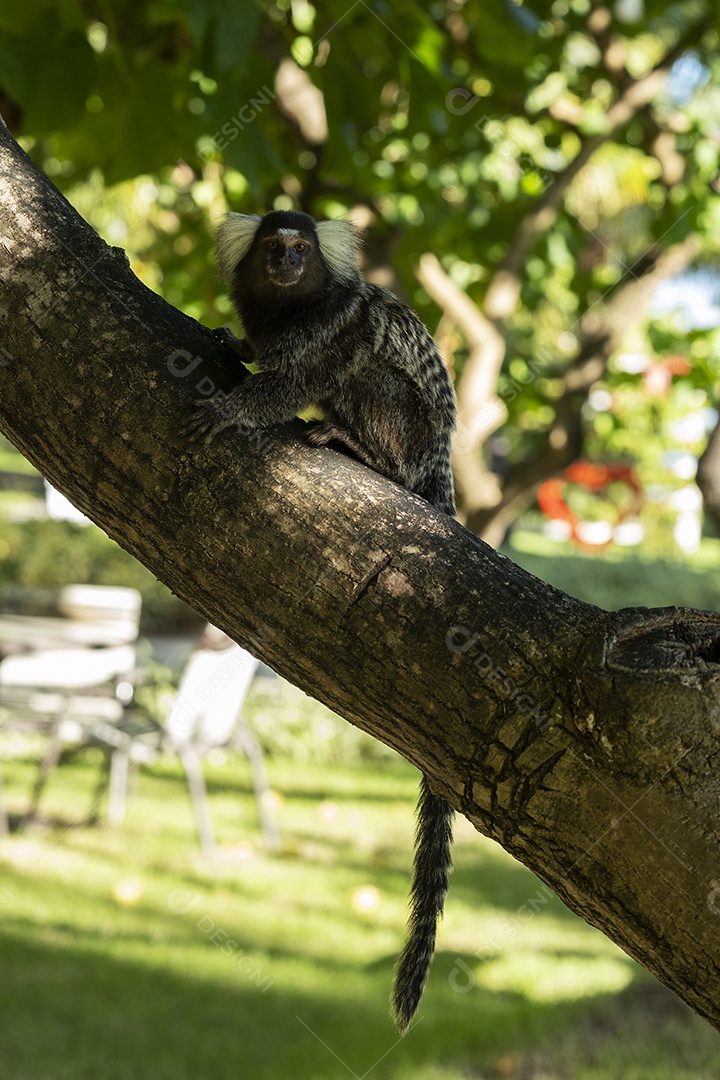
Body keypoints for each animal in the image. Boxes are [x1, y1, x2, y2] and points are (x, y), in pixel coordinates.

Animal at [188, 208, 459, 1028]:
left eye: (300, 250)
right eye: (273, 248)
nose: (284, 263)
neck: (289, 308)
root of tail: (438, 460)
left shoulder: (332, 330)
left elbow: (298, 379)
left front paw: (235, 406)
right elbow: (256, 347)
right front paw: (233, 341)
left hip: (404, 427)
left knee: (366, 381)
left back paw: (355, 447)